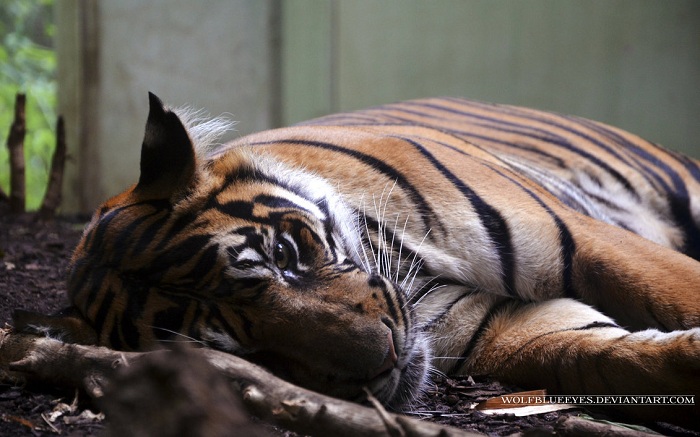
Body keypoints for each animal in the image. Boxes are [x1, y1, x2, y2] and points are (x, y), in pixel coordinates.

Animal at [17, 93, 700, 430]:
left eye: (285, 255)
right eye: (251, 355)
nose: (386, 360)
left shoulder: (582, 237)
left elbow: (672, 288)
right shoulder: (509, 328)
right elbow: (609, 361)